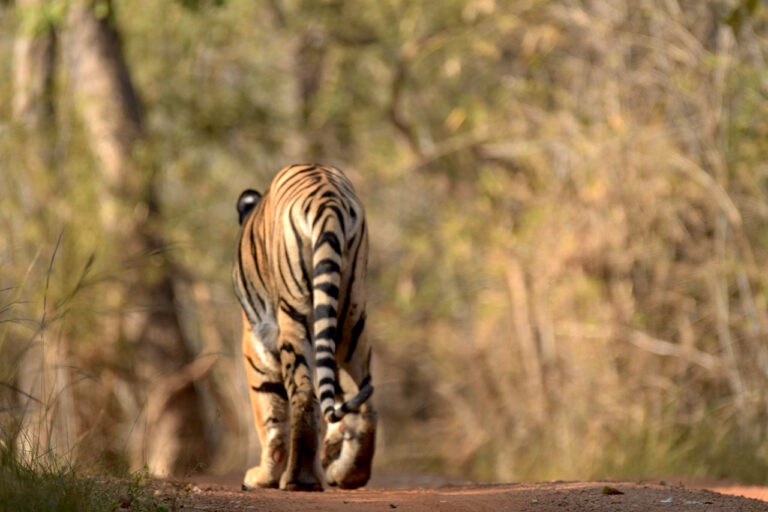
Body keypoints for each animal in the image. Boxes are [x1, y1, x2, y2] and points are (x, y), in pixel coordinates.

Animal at [234, 164, 378, 492]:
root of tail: (329, 199)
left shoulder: (256, 342)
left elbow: (269, 414)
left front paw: (262, 477)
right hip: (350, 313)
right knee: (362, 398)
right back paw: (349, 474)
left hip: (295, 310)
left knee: (303, 394)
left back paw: (300, 478)